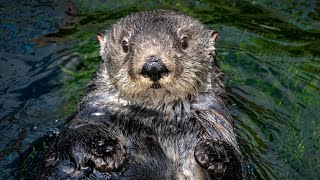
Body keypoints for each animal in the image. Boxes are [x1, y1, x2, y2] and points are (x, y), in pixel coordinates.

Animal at [37, 10, 248, 180]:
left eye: (184, 42)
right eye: (125, 45)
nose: (153, 66)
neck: (156, 120)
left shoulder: (214, 121)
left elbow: (238, 169)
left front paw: (215, 154)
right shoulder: (93, 109)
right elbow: (72, 135)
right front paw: (105, 150)